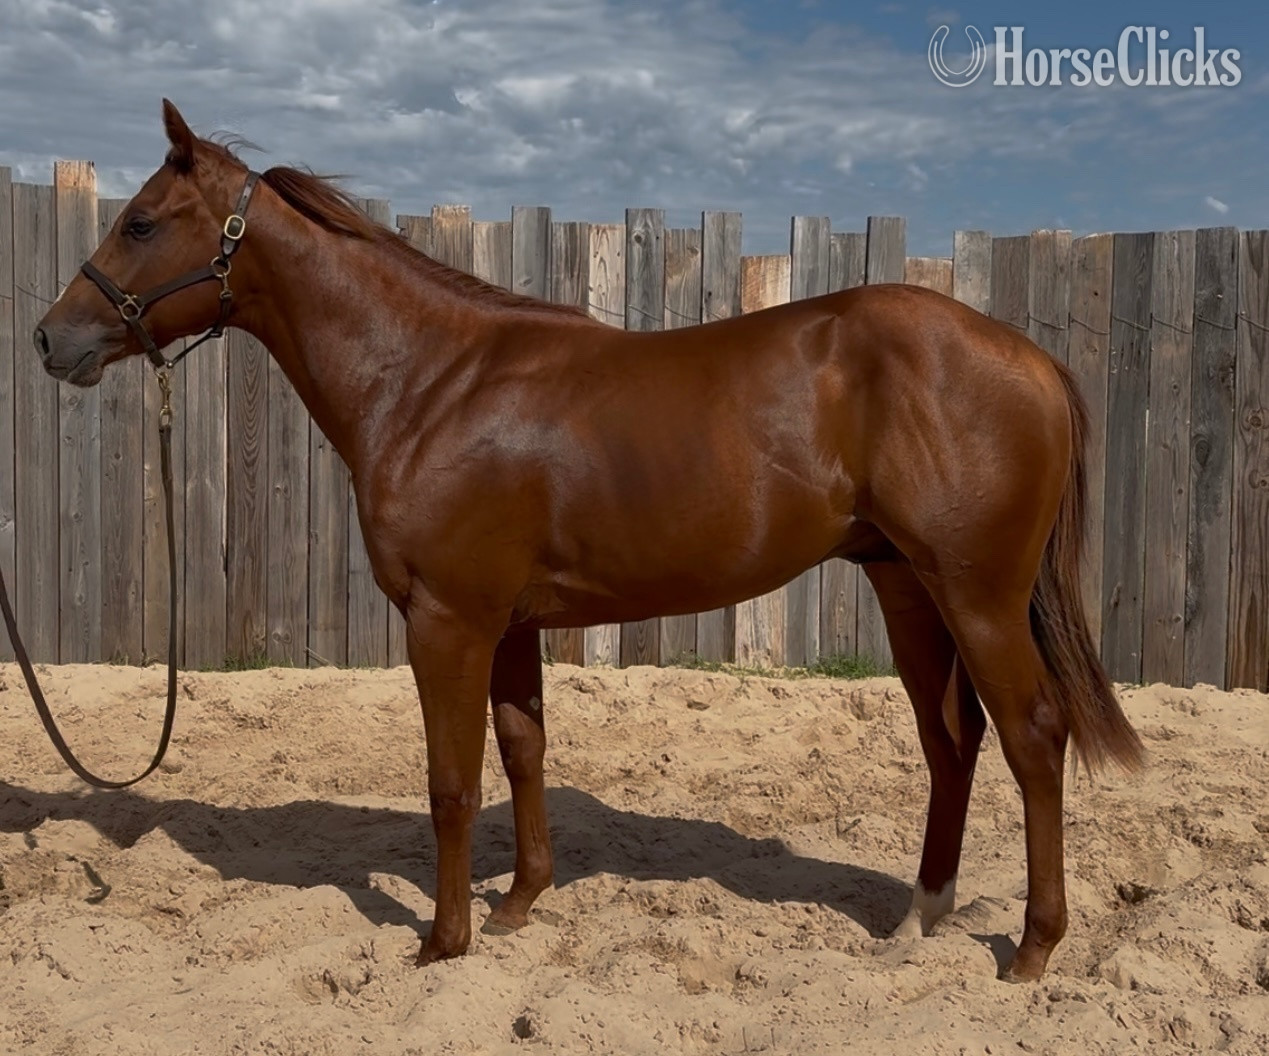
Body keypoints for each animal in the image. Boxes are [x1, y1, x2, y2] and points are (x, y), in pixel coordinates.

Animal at [33, 99, 1143, 982]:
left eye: (139, 221)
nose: (51, 339)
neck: (428, 382)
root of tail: (1031, 360)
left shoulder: (448, 620)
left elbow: (452, 783)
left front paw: (442, 943)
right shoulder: (509, 623)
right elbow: (523, 749)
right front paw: (519, 904)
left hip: (979, 596)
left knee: (1033, 737)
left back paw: (1033, 950)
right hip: (909, 587)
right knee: (950, 740)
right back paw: (920, 919)